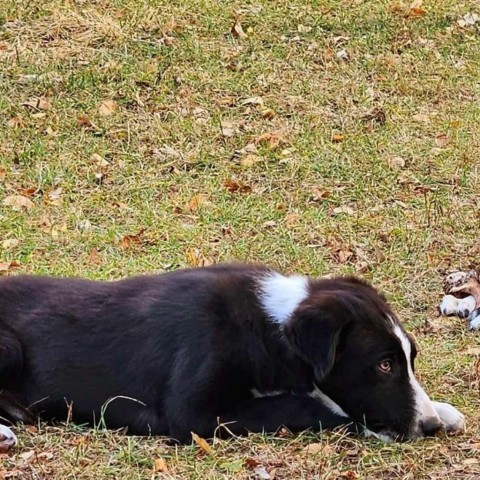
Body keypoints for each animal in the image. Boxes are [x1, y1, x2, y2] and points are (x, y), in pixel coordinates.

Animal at [0, 262, 464, 450]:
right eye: (383, 365)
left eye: (408, 360)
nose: (428, 427)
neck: (267, 329)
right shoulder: (193, 415)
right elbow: (308, 404)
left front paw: (443, 410)